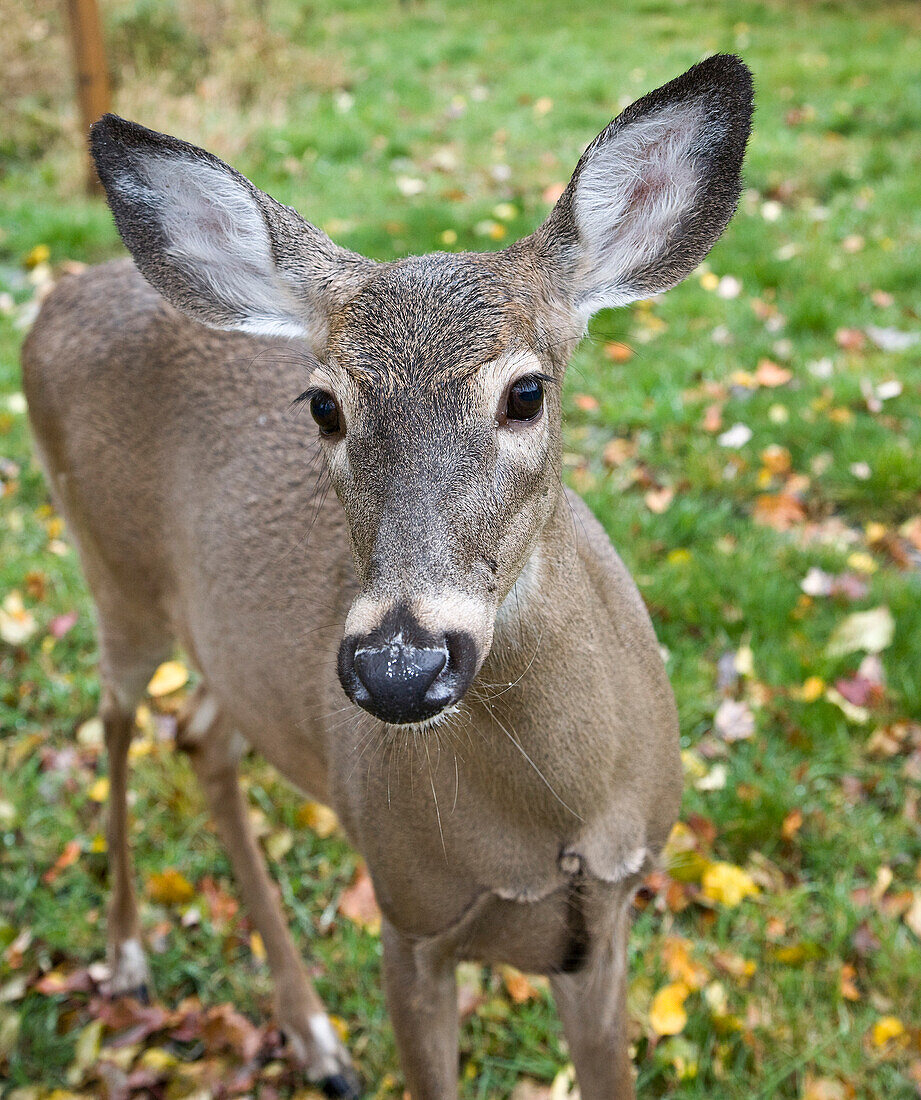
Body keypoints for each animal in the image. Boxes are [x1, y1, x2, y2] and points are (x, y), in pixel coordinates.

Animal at [21, 53, 752, 1100]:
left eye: (525, 392)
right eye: (322, 406)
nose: (400, 665)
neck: (551, 824)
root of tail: (53, 298)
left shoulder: (607, 924)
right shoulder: (408, 918)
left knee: (199, 734)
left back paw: (314, 1035)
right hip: (108, 566)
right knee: (118, 717)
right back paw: (127, 954)